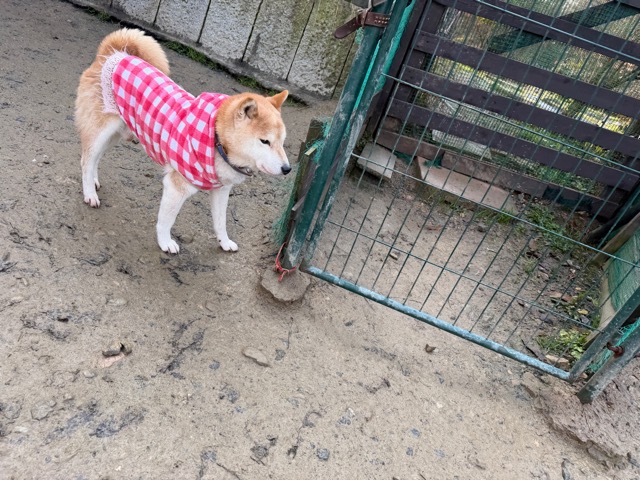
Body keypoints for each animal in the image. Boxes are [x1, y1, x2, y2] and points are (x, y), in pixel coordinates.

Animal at [75, 28, 290, 253]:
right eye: (265, 141)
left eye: (282, 141)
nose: (287, 169)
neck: (215, 140)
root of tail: (115, 54)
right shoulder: (176, 187)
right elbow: (166, 221)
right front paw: (165, 242)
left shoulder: (221, 190)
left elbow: (220, 222)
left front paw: (224, 242)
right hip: (101, 130)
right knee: (86, 160)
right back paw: (90, 193)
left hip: (116, 133)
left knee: (93, 158)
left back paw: (93, 181)